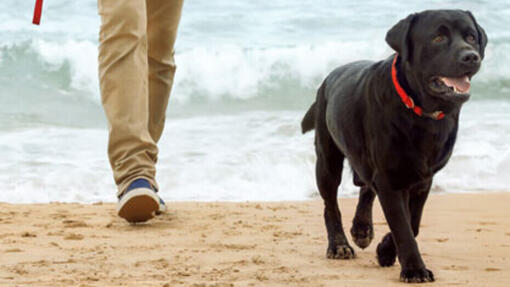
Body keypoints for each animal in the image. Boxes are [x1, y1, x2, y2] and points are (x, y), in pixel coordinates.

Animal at [300, 9, 488, 284]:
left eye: (471, 37)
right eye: (438, 37)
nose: (471, 56)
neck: (421, 112)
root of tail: (328, 79)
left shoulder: (422, 179)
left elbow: (413, 222)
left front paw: (386, 251)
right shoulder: (390, 179)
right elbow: (402, 226)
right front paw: (414, 269)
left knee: (366, 187)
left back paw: (362, 229)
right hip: (327, 160)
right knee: (330, 205)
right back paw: (339, 245)